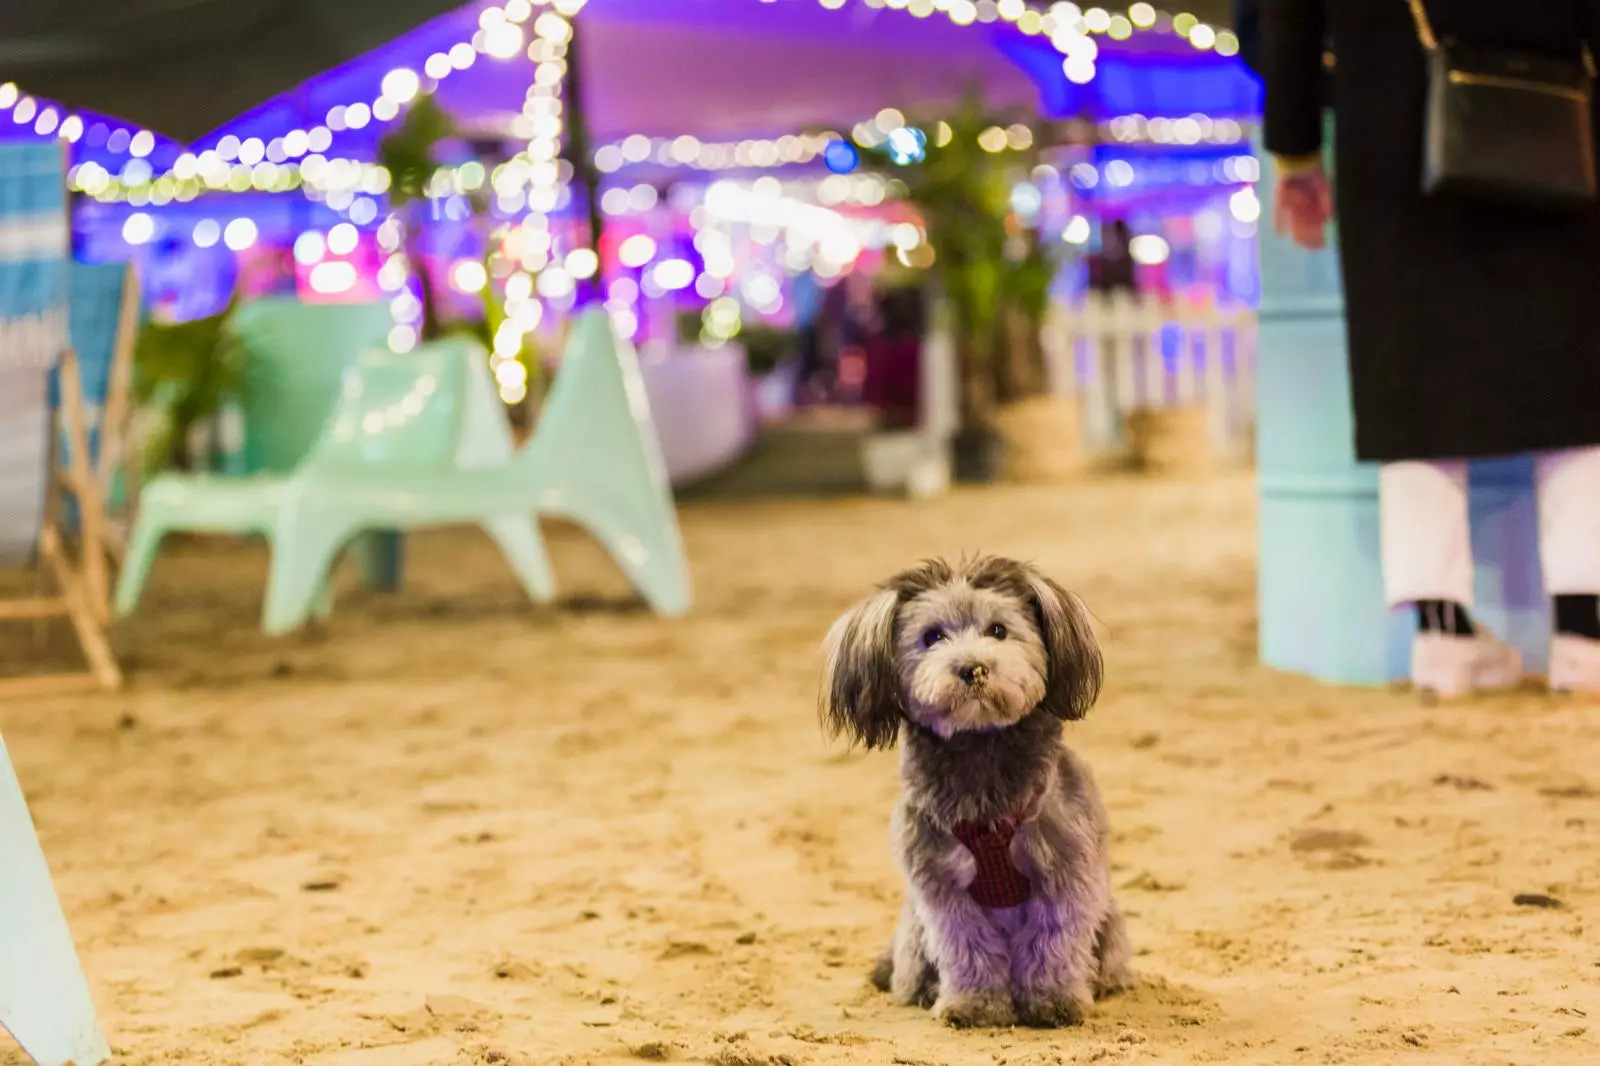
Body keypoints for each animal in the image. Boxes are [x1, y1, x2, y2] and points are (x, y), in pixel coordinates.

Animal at [819, 550, 1132, 1024]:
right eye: (932, 637)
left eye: (998, 630)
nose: (974, 668)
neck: (981, 750)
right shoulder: (942, 887)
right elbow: (968, 947)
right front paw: (976, 1004)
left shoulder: (1065, 870)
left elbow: (1053, 940)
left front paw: (1053, 1000)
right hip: (915, 936)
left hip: (1109, 923)